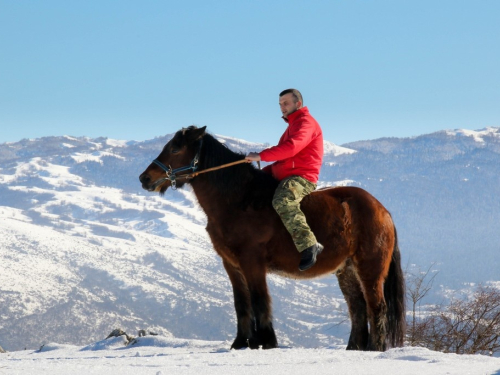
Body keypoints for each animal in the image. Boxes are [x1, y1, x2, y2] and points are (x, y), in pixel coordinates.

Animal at [139, 126, 404, 352]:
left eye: (175, 148)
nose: (145, 178)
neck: (238, 200)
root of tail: (383, 211)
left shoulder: (252, 263)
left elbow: (259, 300)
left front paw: (265, 341)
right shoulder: (232, 265)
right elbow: (241, 304)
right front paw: (240, 343)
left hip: (370, 269)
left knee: (376, 307)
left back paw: (375, 348)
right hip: (346, 270)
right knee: (357, 309)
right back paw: (354, 348)